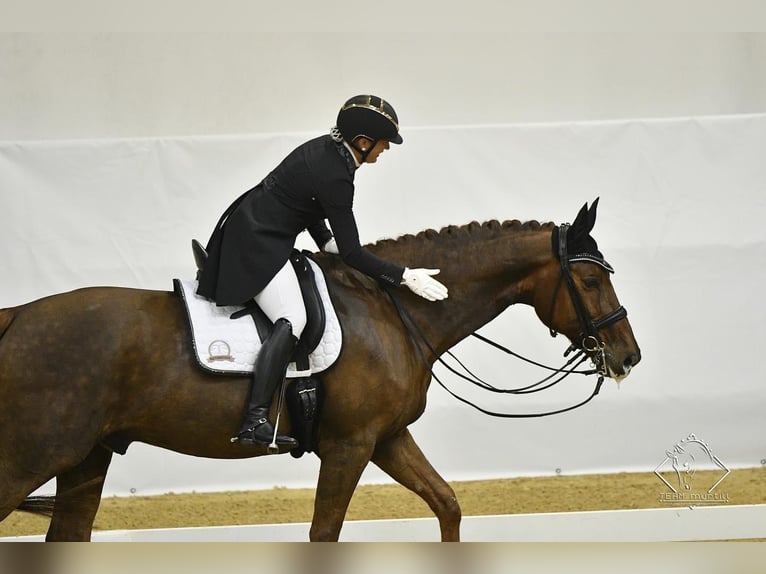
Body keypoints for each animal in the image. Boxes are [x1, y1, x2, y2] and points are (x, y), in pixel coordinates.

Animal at [0, 200, 640, 544]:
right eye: (589, 281)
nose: (628, 356)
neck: (393, 311)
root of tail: (18, 316)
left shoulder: (387, 438)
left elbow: (448, 505)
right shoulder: (348, 446)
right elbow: (323, 533)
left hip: (87, 455)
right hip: (32, 455)